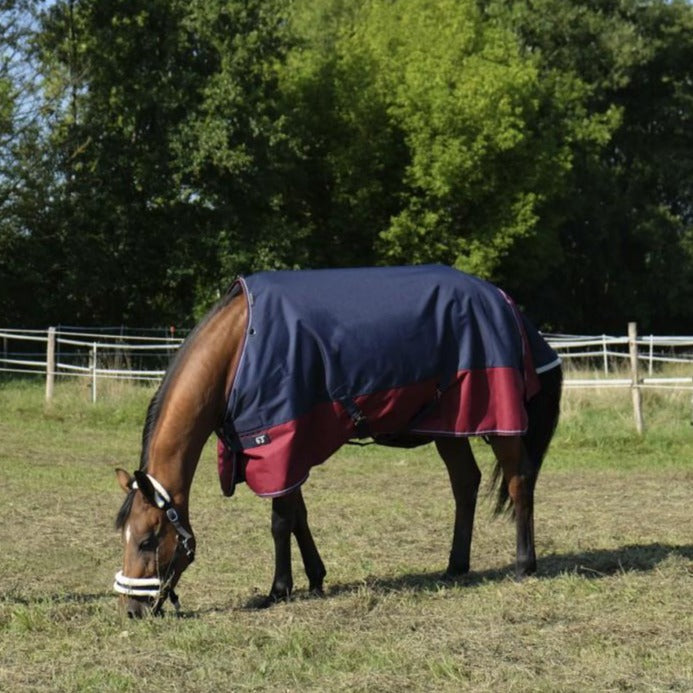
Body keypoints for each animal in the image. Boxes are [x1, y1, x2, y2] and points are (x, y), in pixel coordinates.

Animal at [113, 265, 562, 618]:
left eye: (149, 539)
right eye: (125, 537)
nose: (133, 610)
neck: (238, 349)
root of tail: (505, 302)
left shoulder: (280, 446)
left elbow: (280, 522)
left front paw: (279, 589)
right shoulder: (281, 453)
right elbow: (297, 515)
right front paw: (314, 577)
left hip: (499, 419)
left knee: (519, 480)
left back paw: (524, 564)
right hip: (449, 425)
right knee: (465, 483)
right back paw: (456, 564)